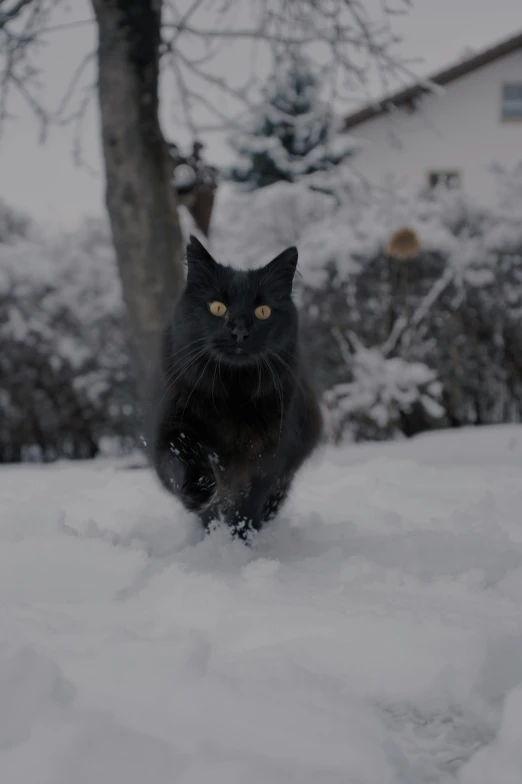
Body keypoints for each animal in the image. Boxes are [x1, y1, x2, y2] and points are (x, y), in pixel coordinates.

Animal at [147, 234, 320, 540]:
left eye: (262, 312)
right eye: (217, 307)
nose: (239, 332)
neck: (232, 394)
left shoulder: (266, 458)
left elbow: (246, 508)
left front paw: (238, 541)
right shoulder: (170, 427)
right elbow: (180, 455)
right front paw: (200, 491)